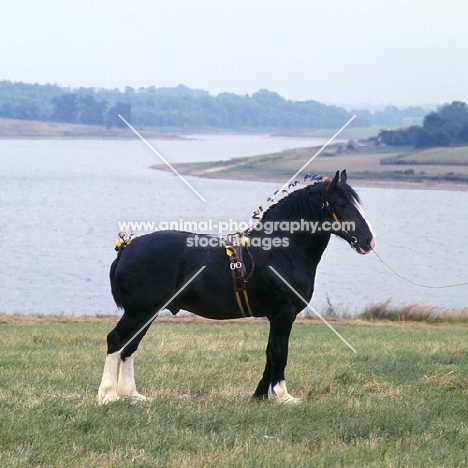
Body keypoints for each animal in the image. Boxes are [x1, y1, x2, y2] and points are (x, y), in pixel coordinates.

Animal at [97, 170, 374, 404]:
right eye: (342, 205)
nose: (368, 241)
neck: (281, 250)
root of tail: (126, 248)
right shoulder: (283, 312)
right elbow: (279, 352)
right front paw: (283, 396)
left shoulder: (276, 316)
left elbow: (269, 351)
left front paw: (261, 394)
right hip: (139, 312)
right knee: (116, 341)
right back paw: (108, 395)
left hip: (147, 313)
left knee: (130, 345)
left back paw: (132, 395)